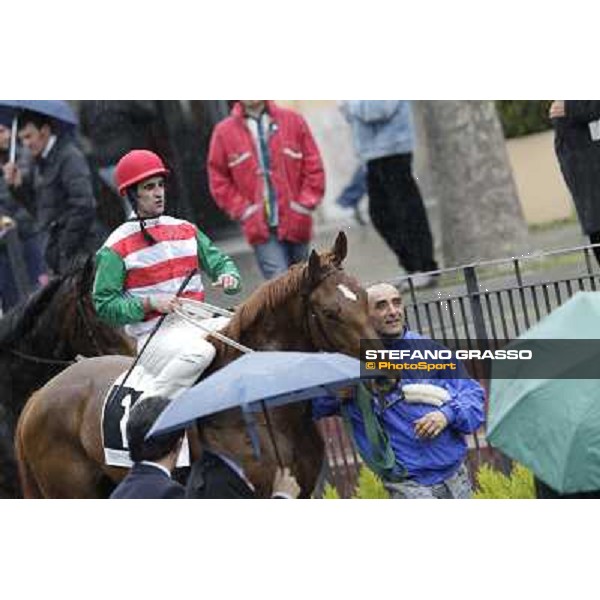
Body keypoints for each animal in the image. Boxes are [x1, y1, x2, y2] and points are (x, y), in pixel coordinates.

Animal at [16, 232, 382, 500]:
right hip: (74, 492)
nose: (379, 372)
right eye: (330, 312)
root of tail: (36, 398)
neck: (259, 407)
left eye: (365, 298)